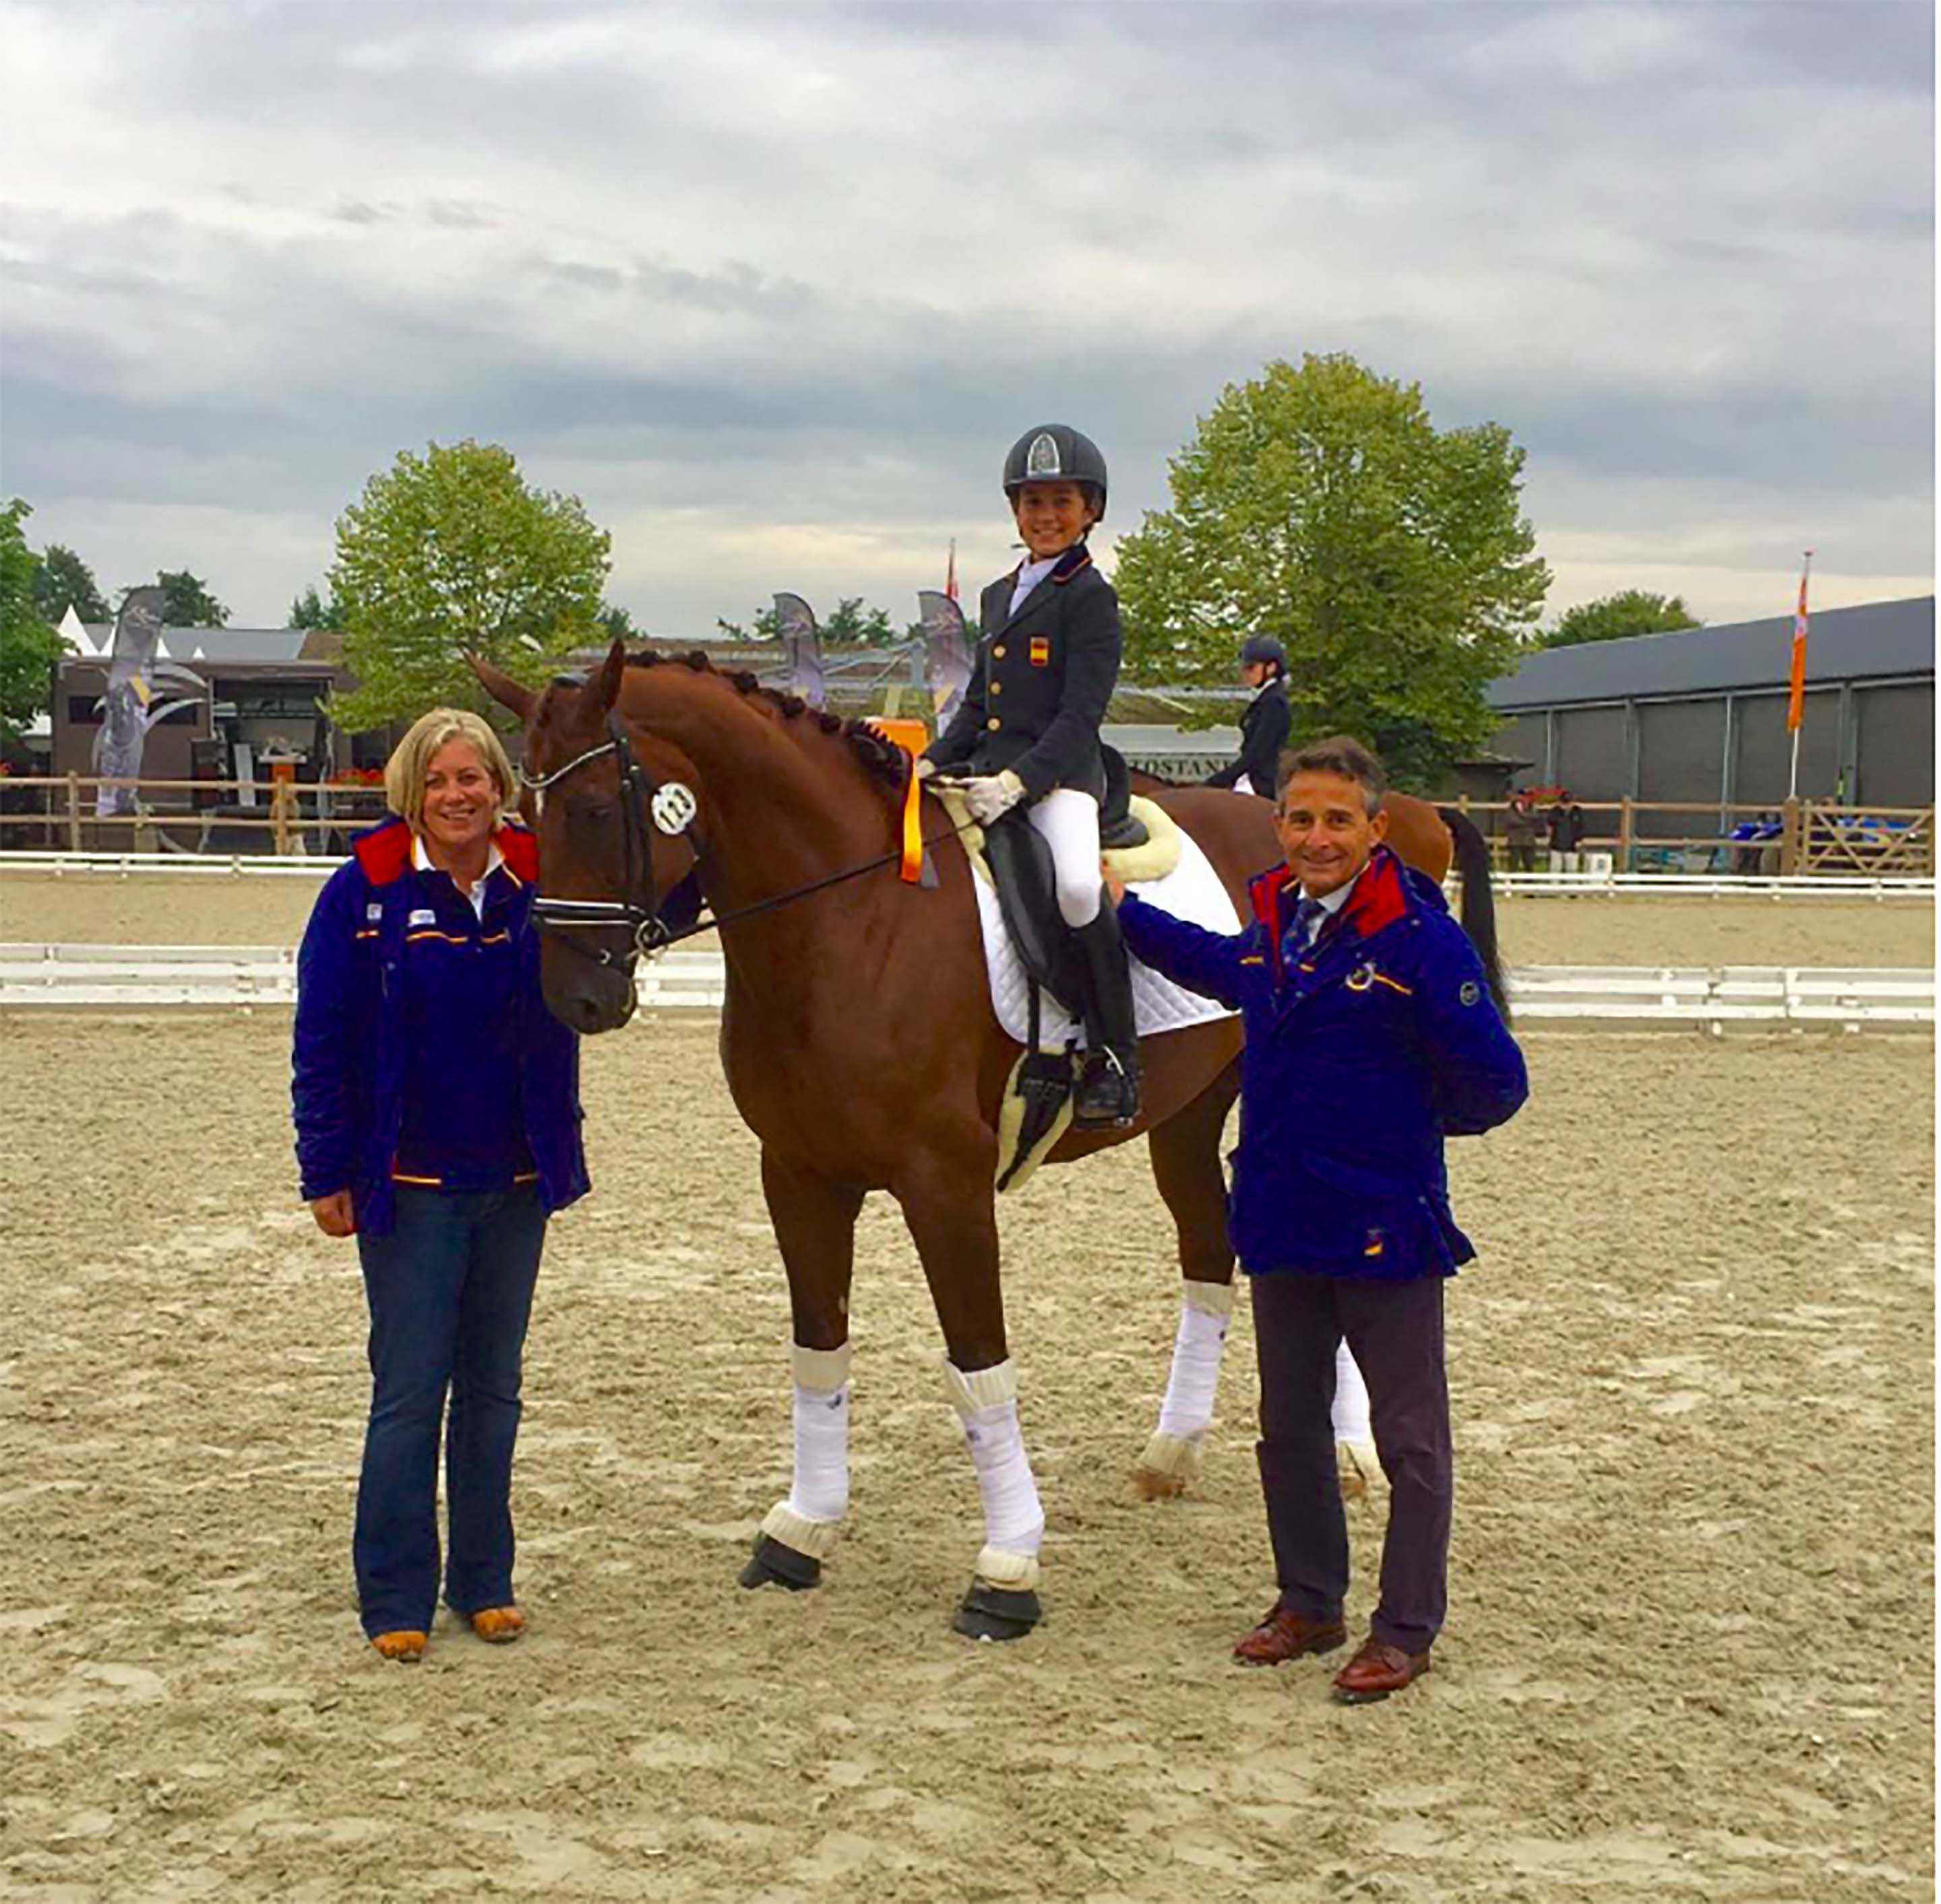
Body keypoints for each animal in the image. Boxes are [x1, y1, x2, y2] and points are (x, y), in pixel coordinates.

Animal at [477, 640, 1506, 1638]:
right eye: (518, 812)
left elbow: (978, 1369)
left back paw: (1350, 1454)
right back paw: (1173, 1451)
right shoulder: (799, 1174)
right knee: (1213, 1251)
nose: (576, 1000)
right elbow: (819, 1350)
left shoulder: (947, 1183)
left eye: (597, 808)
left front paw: (1008, 1565)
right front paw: (801, 1529)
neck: (847, 920)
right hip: (1190, 1114)